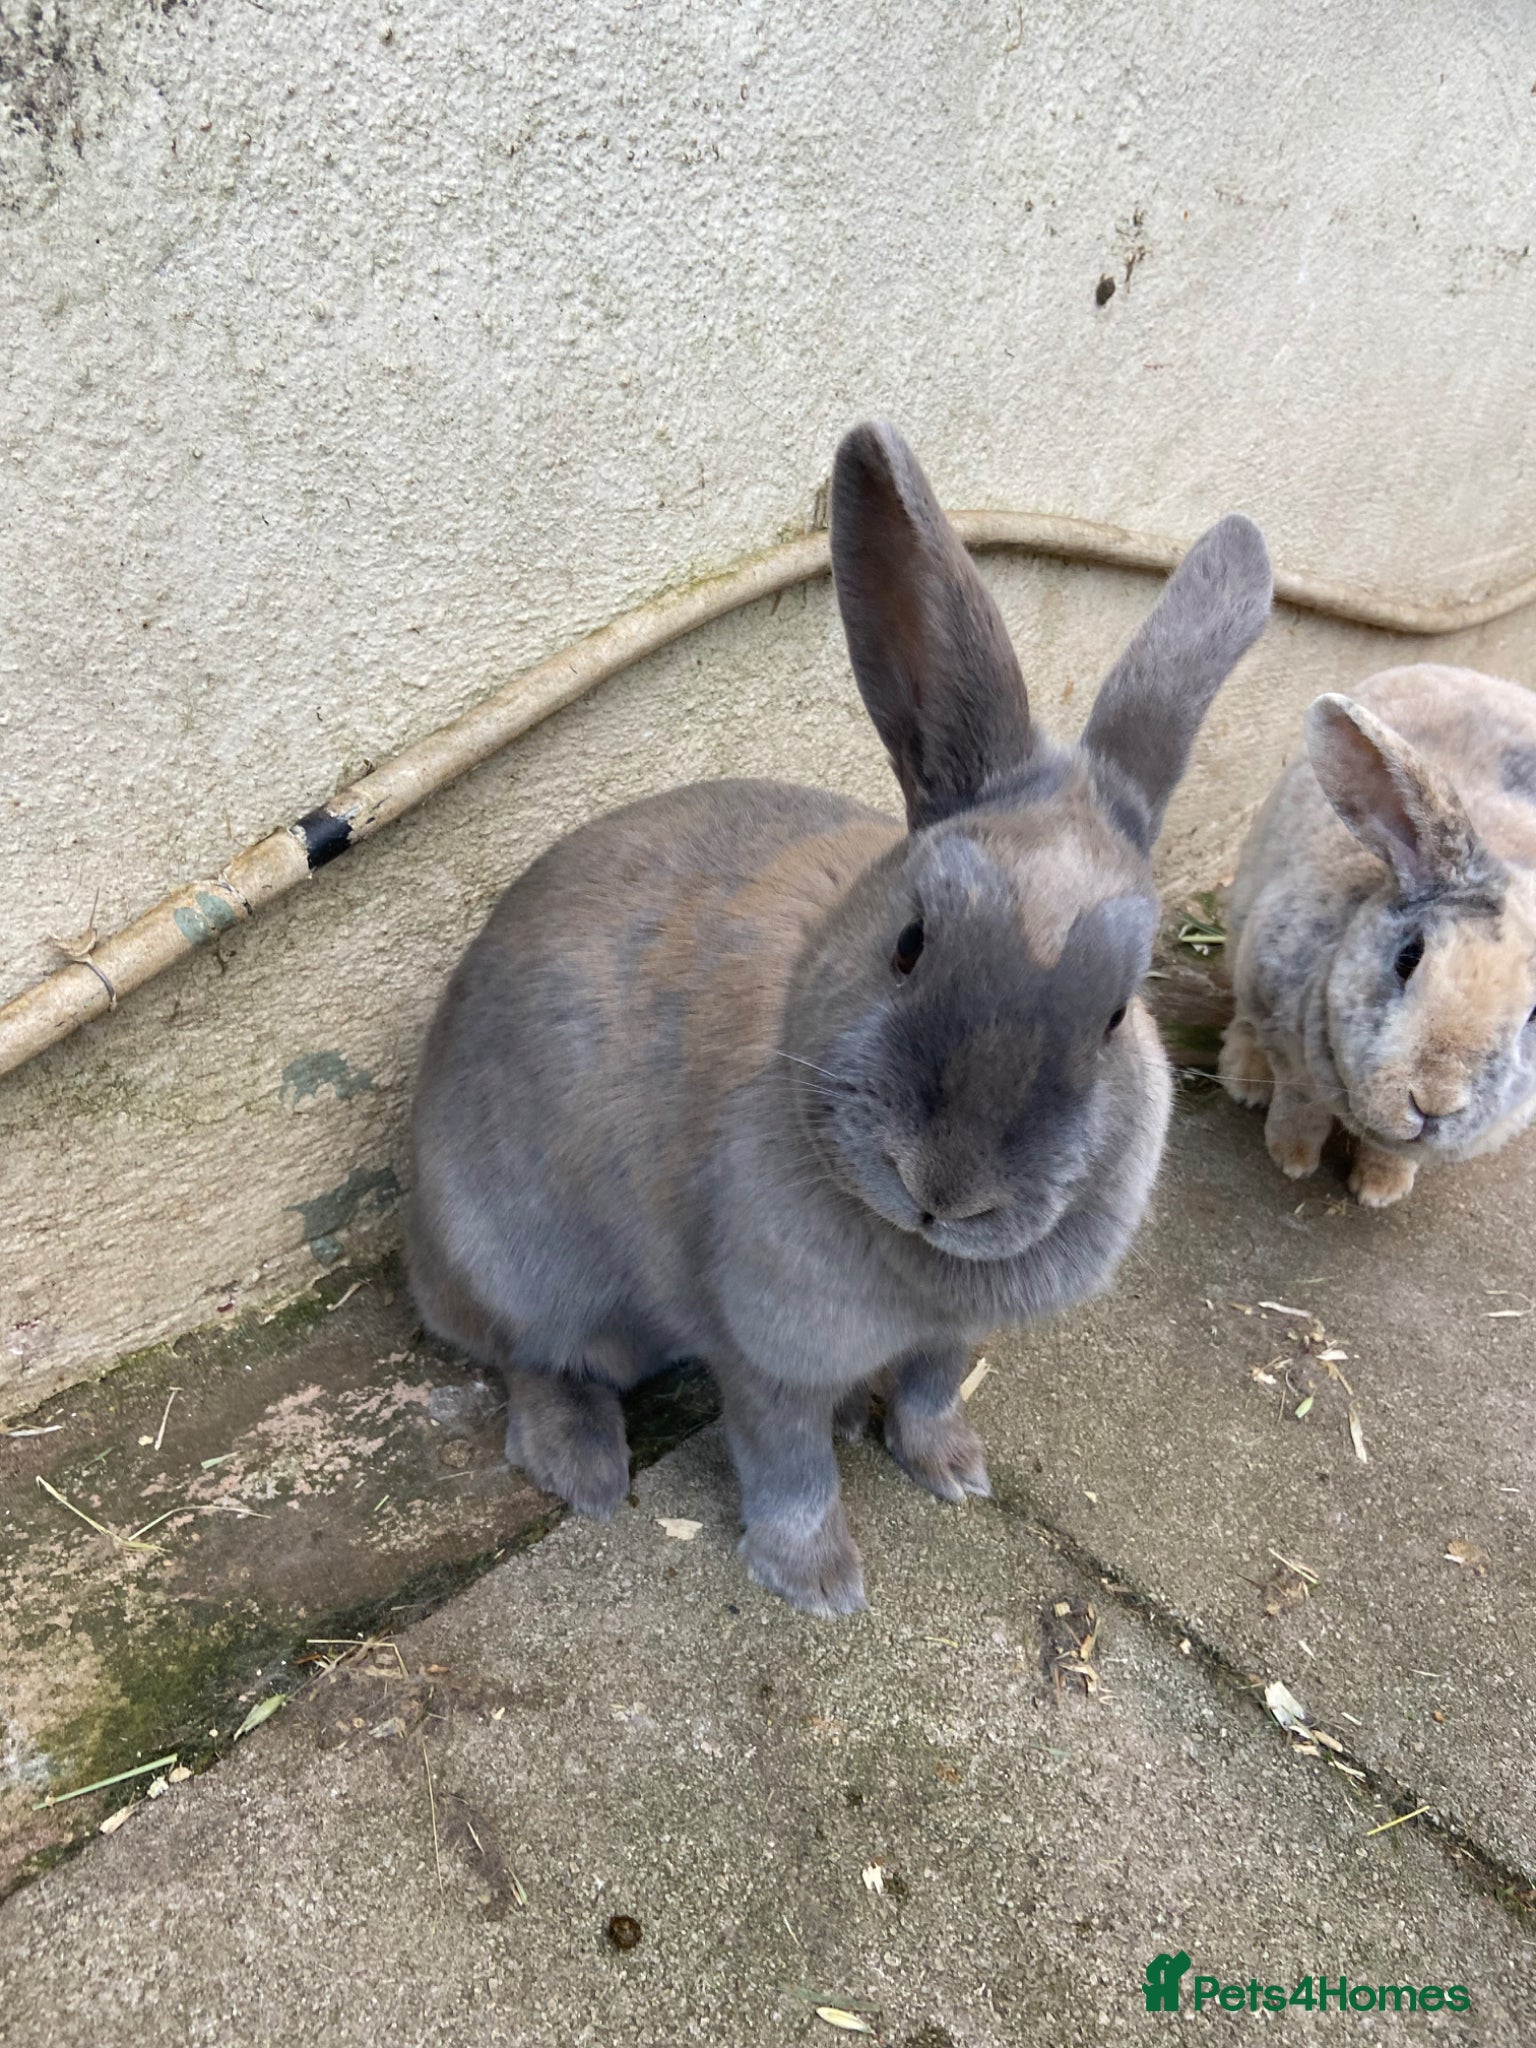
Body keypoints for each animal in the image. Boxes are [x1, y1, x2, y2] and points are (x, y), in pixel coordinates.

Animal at [407, 420, 1273, 1616]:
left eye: (1113, 1014)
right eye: (908, 943)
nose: (945, 1188)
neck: (913, 1262)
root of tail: (422, 1258)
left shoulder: (946, 1338)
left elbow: (930, 1392)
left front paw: (953, 1472)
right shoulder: (771, 1354)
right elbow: (787, 1464)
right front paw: (817, 1582)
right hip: (523, 1263)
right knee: (535, 1359)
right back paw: (586, 1470)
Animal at [1220, 665, 1536, 1207]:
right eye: (1407, 957)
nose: (1431, 1101)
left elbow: (1397, 1153)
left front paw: (1380, 1190)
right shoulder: (1280, 1019)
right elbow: (1299, 1101)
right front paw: (1292, 1159)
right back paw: (1244, 1076)